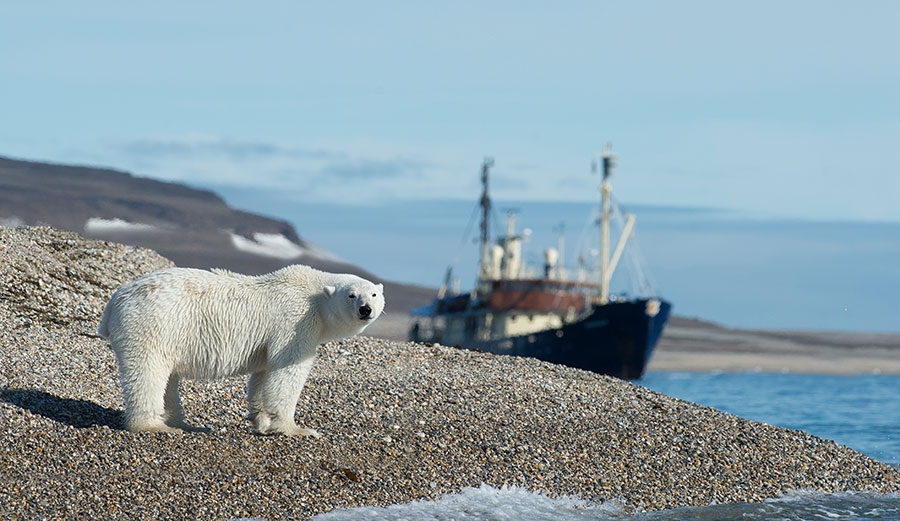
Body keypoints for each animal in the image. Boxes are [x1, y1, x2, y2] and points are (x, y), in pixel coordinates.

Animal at [97, 264, 384, 436]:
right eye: (351, 295)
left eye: (373, 294)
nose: (365, 310)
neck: (313, 293)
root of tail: (114, 300)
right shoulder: (296, 322)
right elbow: (287, 372)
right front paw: (297, 429)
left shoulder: (271, 340)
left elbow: (263, 376)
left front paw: (262, 422)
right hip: (152, 324)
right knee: (148, 372)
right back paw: (155, 426)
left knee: (168, 378)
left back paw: (185, 424)